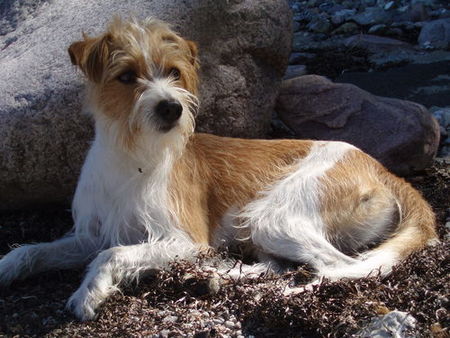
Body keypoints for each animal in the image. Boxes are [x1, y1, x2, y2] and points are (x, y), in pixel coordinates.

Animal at [0, 17, 438, 320]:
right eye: (126, 76)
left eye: (174, 72)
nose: (171, 108)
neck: (132, 154)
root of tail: (383, 170)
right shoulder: (88, 235)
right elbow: (32, 251)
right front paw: (7, 267)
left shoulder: (184, 240)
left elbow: (114, 254)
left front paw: (89, 292)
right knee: (280, 264)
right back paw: (218, 274)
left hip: (272, 216)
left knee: (340, 268)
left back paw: (274, 293)